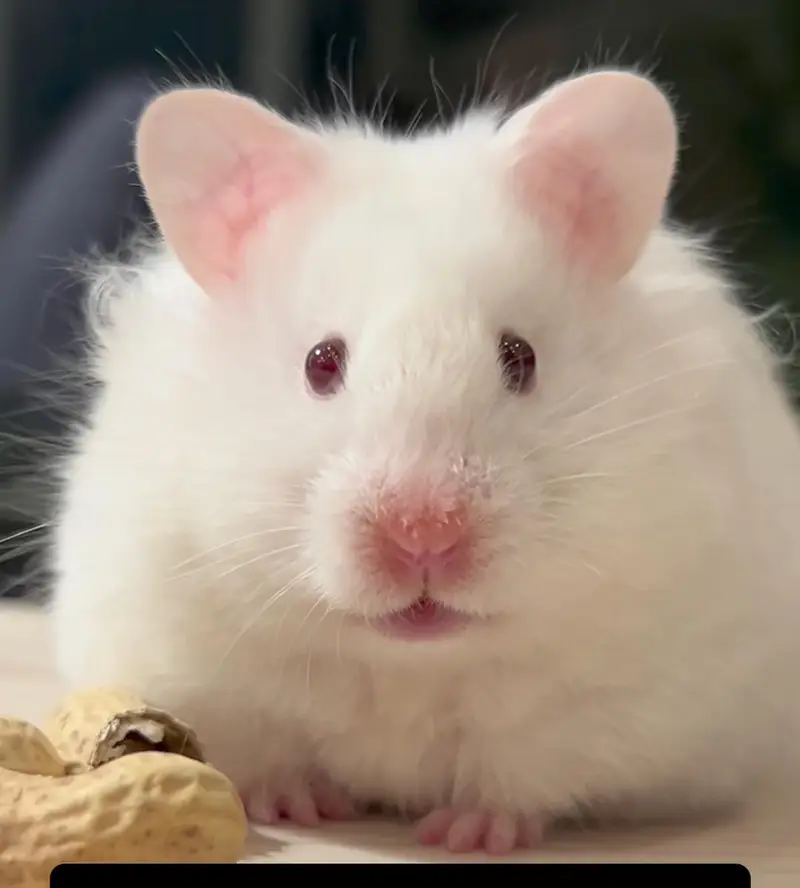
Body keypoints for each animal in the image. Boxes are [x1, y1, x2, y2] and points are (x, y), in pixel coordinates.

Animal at [50, 69, 800, 855]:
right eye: (321, 362)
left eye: (520, 358)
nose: (423, 534)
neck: (411, 660)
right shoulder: (188, 653)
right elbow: (265, 749)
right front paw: (297, 807)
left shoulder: (623, 700)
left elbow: (525, 769)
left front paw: (467, 834)